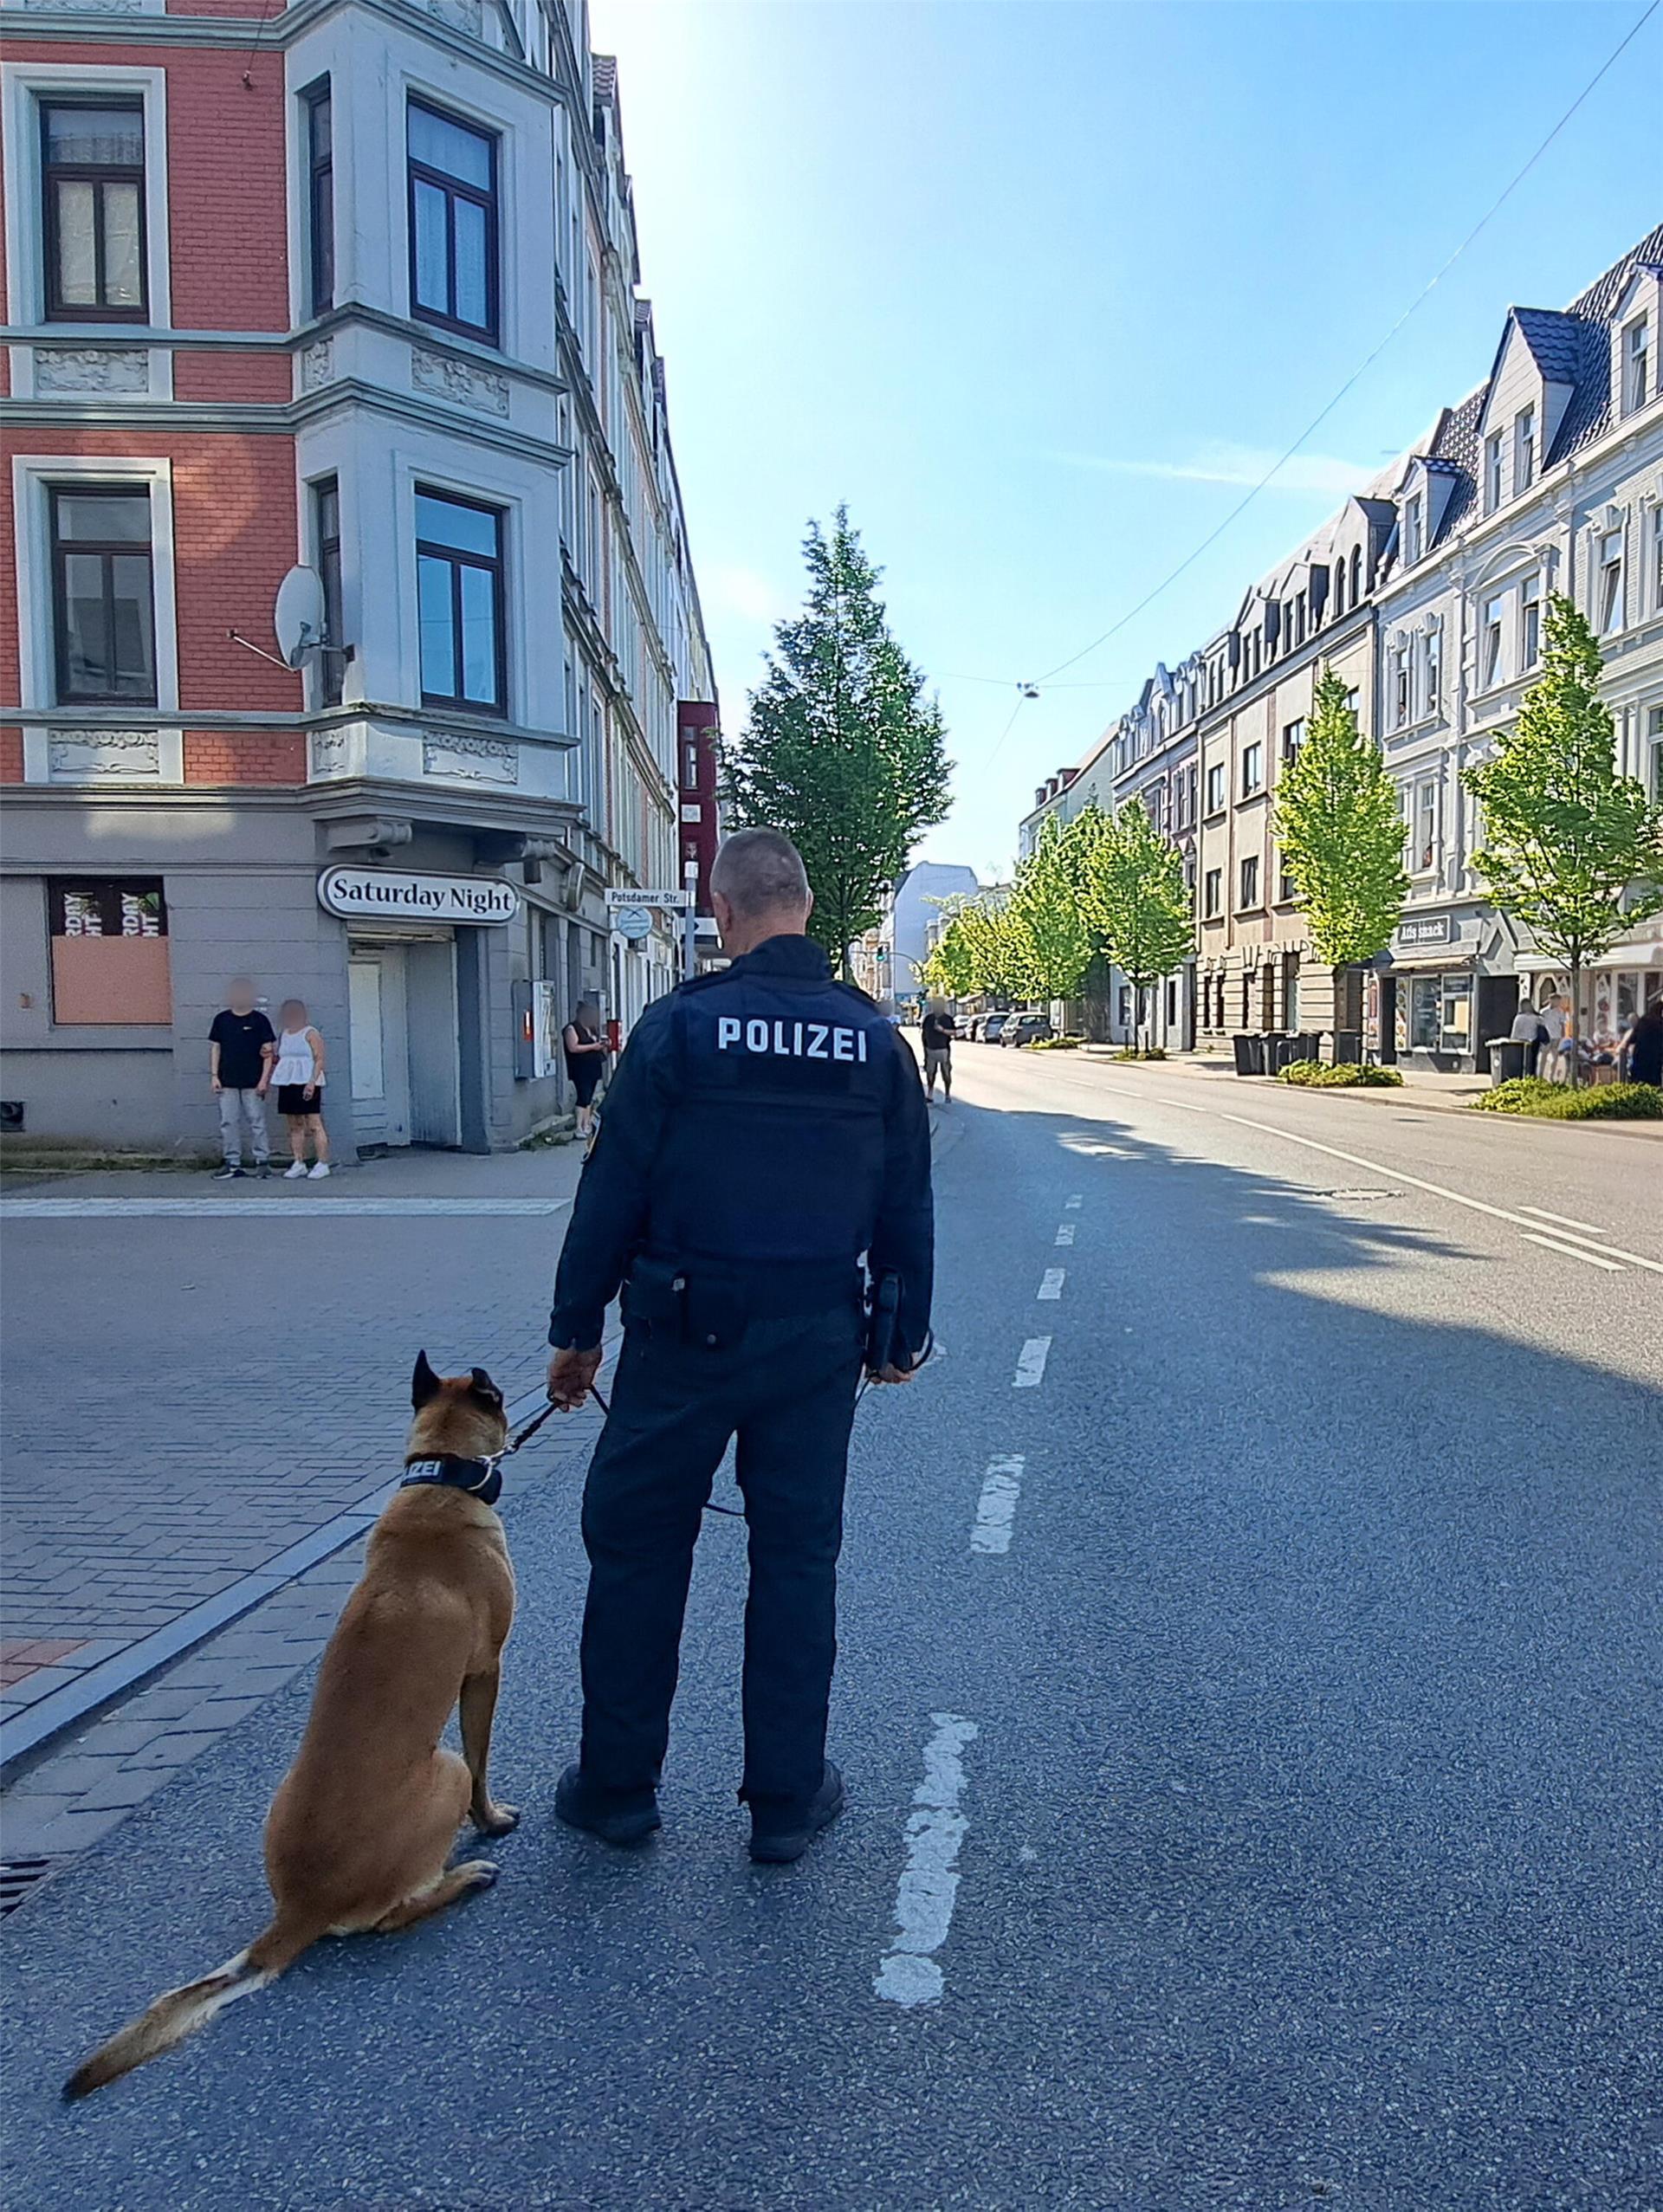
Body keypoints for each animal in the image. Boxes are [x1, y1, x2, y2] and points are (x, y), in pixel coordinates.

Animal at [65, 1354, 520, 2097]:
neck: (437, 1480)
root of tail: (298, 1912)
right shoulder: (484, 1674)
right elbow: (484, 1762)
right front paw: (493, 1820)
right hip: (443, 1768)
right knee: (394, 1915)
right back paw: (467, 1876)